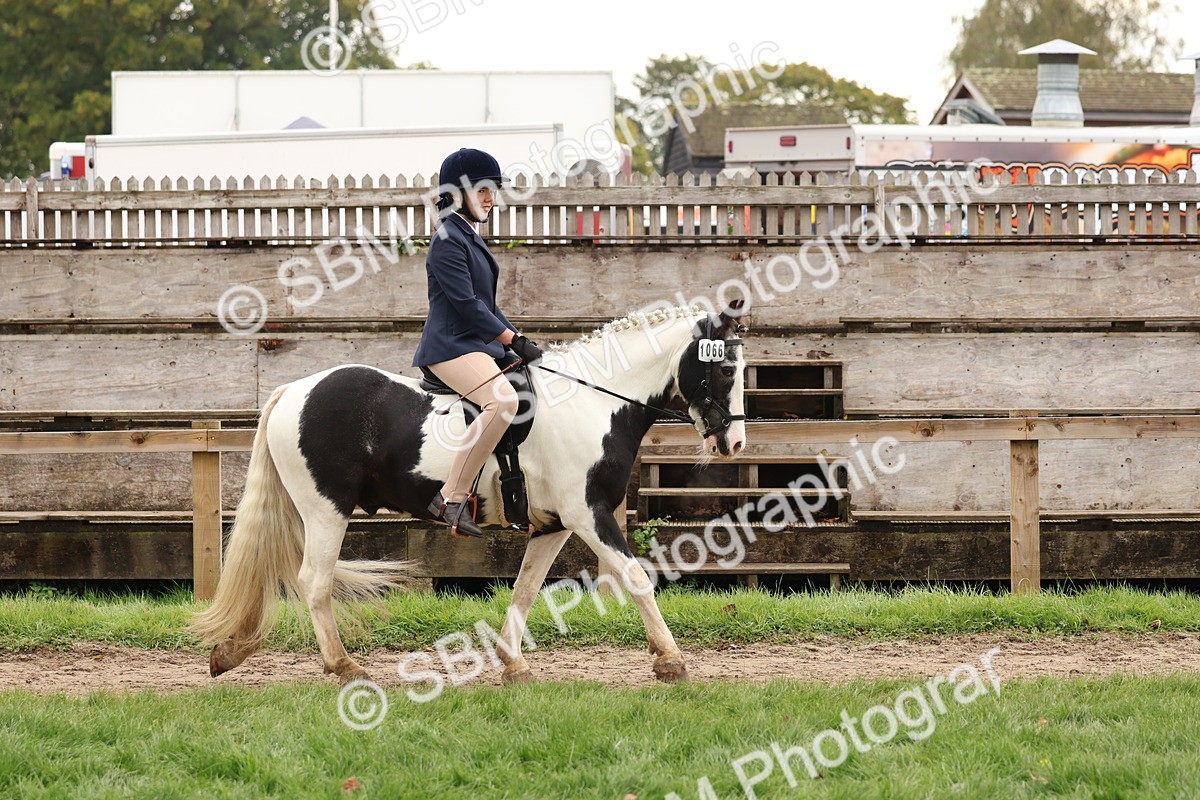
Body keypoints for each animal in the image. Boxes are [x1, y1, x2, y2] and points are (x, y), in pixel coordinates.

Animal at [191, 303, 747, 686]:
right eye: (724, 369)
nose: (735, 443)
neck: (592, 402)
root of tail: (295, 390)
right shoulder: (588, 515)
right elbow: (635, 578)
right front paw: (671, 660)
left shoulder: (555, 524)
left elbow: (526, 588)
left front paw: (513, 663)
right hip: (326, 512)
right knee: (313, 581)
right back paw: (343, 666)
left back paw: (232, 652)